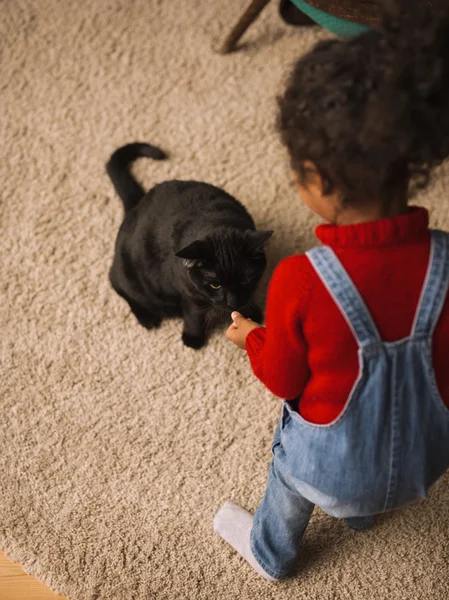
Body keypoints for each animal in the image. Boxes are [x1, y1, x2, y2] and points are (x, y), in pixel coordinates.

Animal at [107, 142, 272, 346]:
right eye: (215, 285)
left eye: (245, 281)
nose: (232, 302)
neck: (217, 221)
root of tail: (136, 206)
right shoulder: (189, 293)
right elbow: (194, 314)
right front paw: (193, 338)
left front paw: (250, 315)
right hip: (128, 275)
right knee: (118, 286)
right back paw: (147, 318)